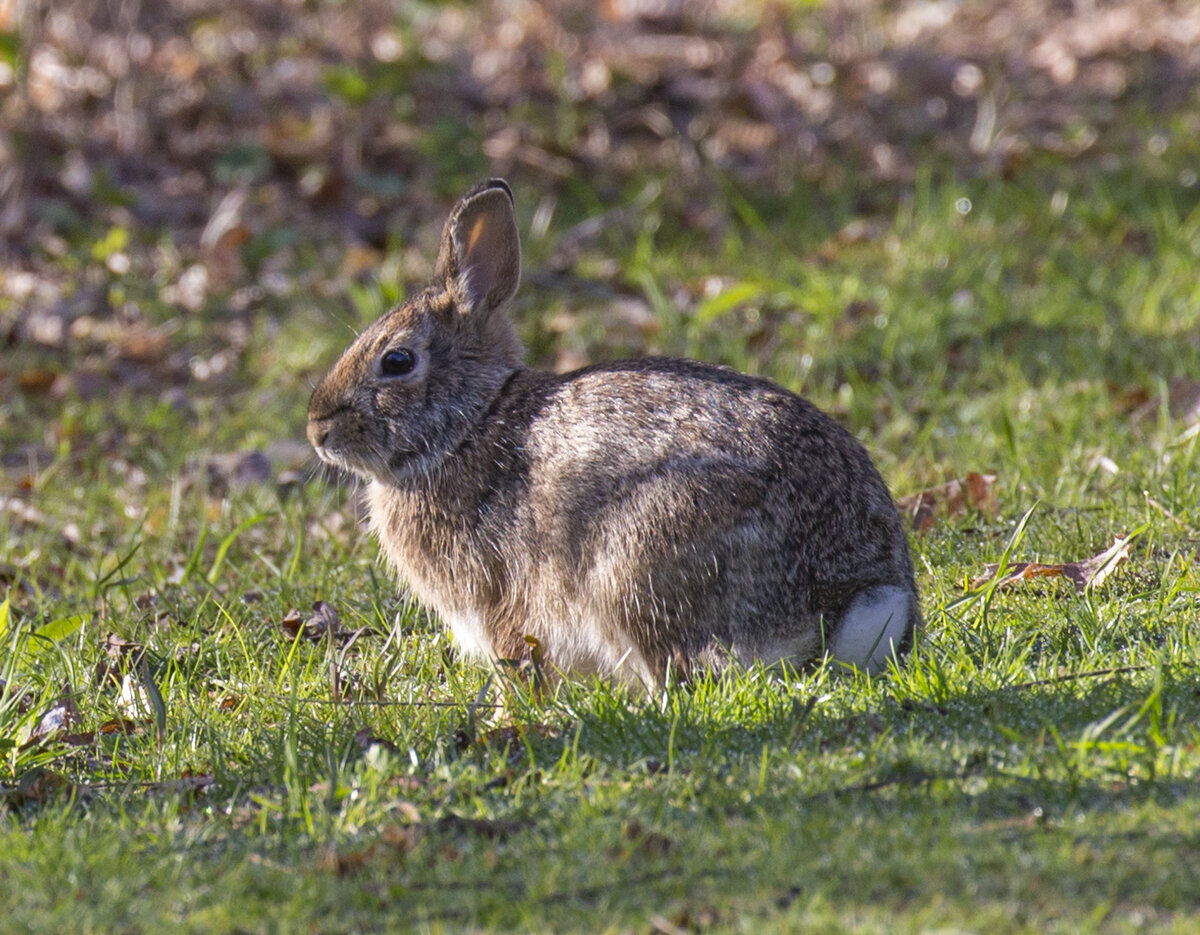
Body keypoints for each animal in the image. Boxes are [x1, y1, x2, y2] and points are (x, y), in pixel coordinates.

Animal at [309, 178, 916, 691]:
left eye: (397, 361)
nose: (317, 427)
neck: (469, 424)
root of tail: (856, 598)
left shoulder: (502, 599)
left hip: (639, 563)